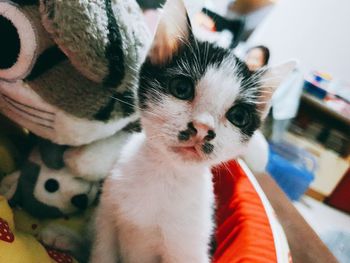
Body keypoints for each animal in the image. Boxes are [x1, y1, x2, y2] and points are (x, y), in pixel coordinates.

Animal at [89, 0, 292, 262]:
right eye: (181, 89)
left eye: (238, 117)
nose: (203, 128)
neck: (165, 173)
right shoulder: (107, 215)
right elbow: (102, 252)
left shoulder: (190, 246)